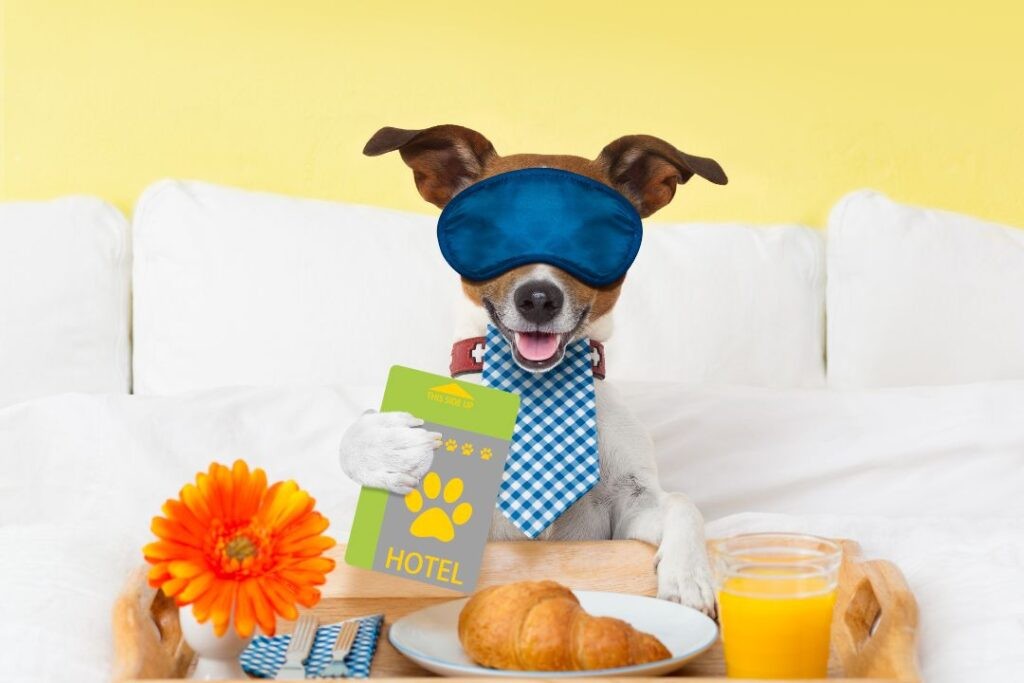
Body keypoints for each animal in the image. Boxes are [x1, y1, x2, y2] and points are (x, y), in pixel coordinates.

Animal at [342, 125, 729, 618]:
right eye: (491, 232)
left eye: (590, 237)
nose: (539, 299)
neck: (535, 387)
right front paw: (382, 447)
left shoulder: (630, 507)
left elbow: (681, 503)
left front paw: (688, 575)